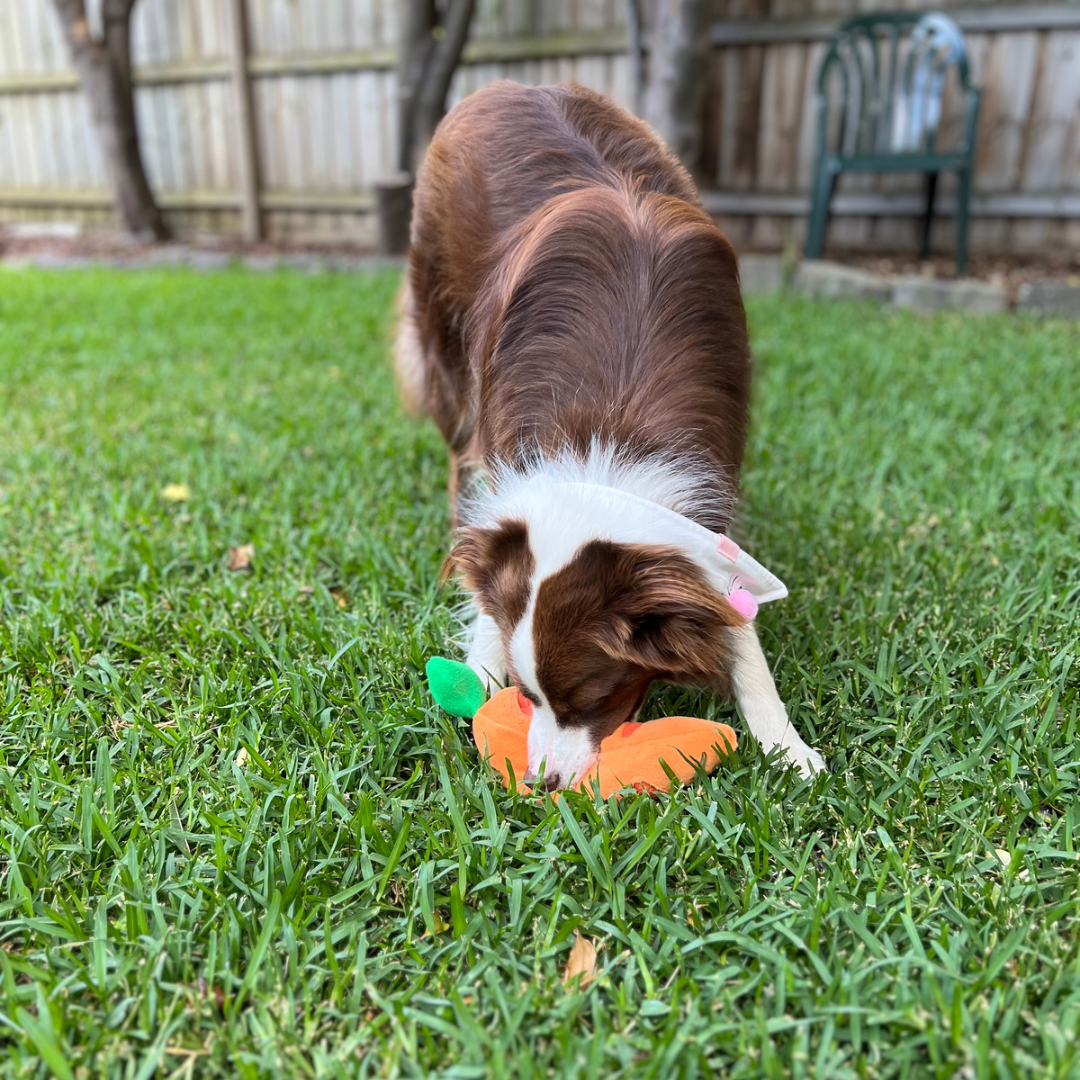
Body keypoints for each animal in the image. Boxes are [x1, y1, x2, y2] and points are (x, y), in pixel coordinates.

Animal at [397, 78, 825, 786]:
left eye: (592, 698)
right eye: (525, 694)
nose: (540, 784)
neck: (607, 438)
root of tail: (504, 85)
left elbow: (733, 621)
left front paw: (787, 746)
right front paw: (480, 664)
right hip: (445, 335)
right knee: (460, 453)